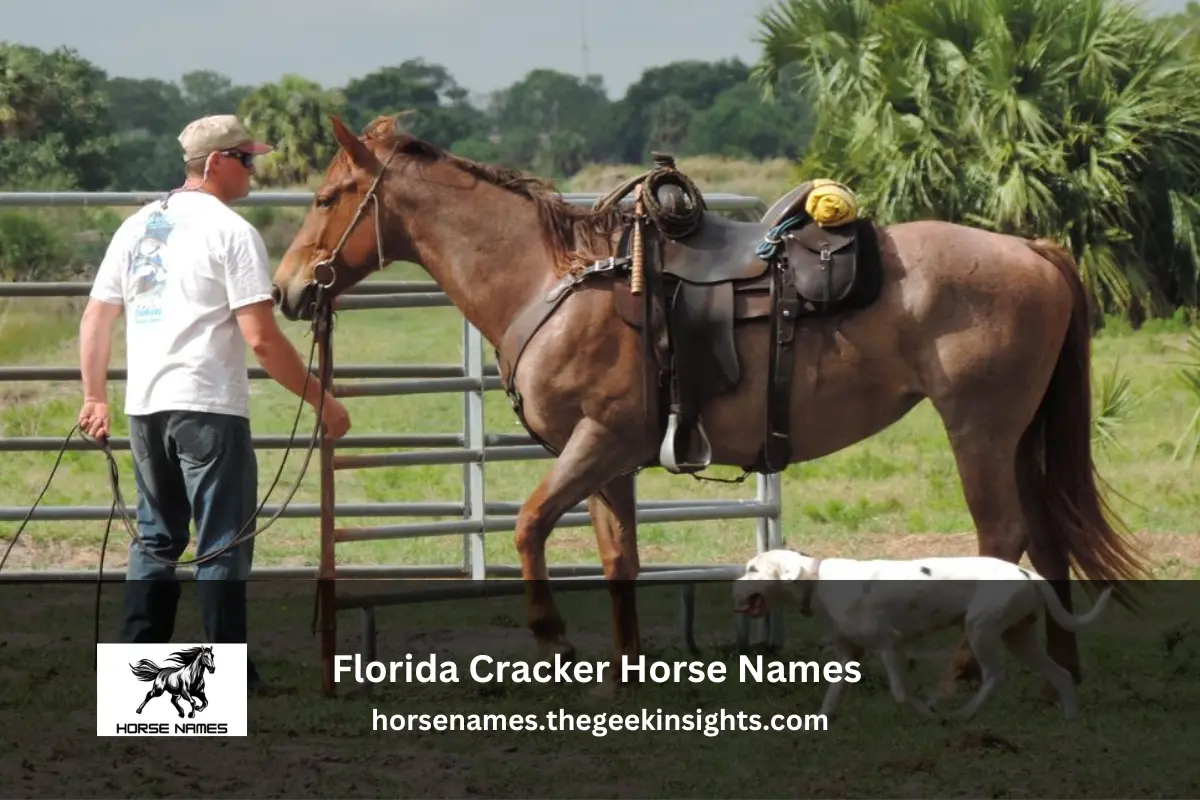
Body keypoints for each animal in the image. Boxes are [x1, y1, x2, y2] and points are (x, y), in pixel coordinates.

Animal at [270, 113, 1148, 697]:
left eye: (329, 194)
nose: (287, 290)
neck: (556, 282)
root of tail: (1031, 249)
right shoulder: (610, 461)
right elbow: (619, 561)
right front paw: (623, 674)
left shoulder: (593, 443)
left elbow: (527, 525)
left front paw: (552, 635)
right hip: (1020, 434)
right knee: (1046, 535)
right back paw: (1055, 666)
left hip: (979, 429)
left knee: (1004, 534)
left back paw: (967, 667)